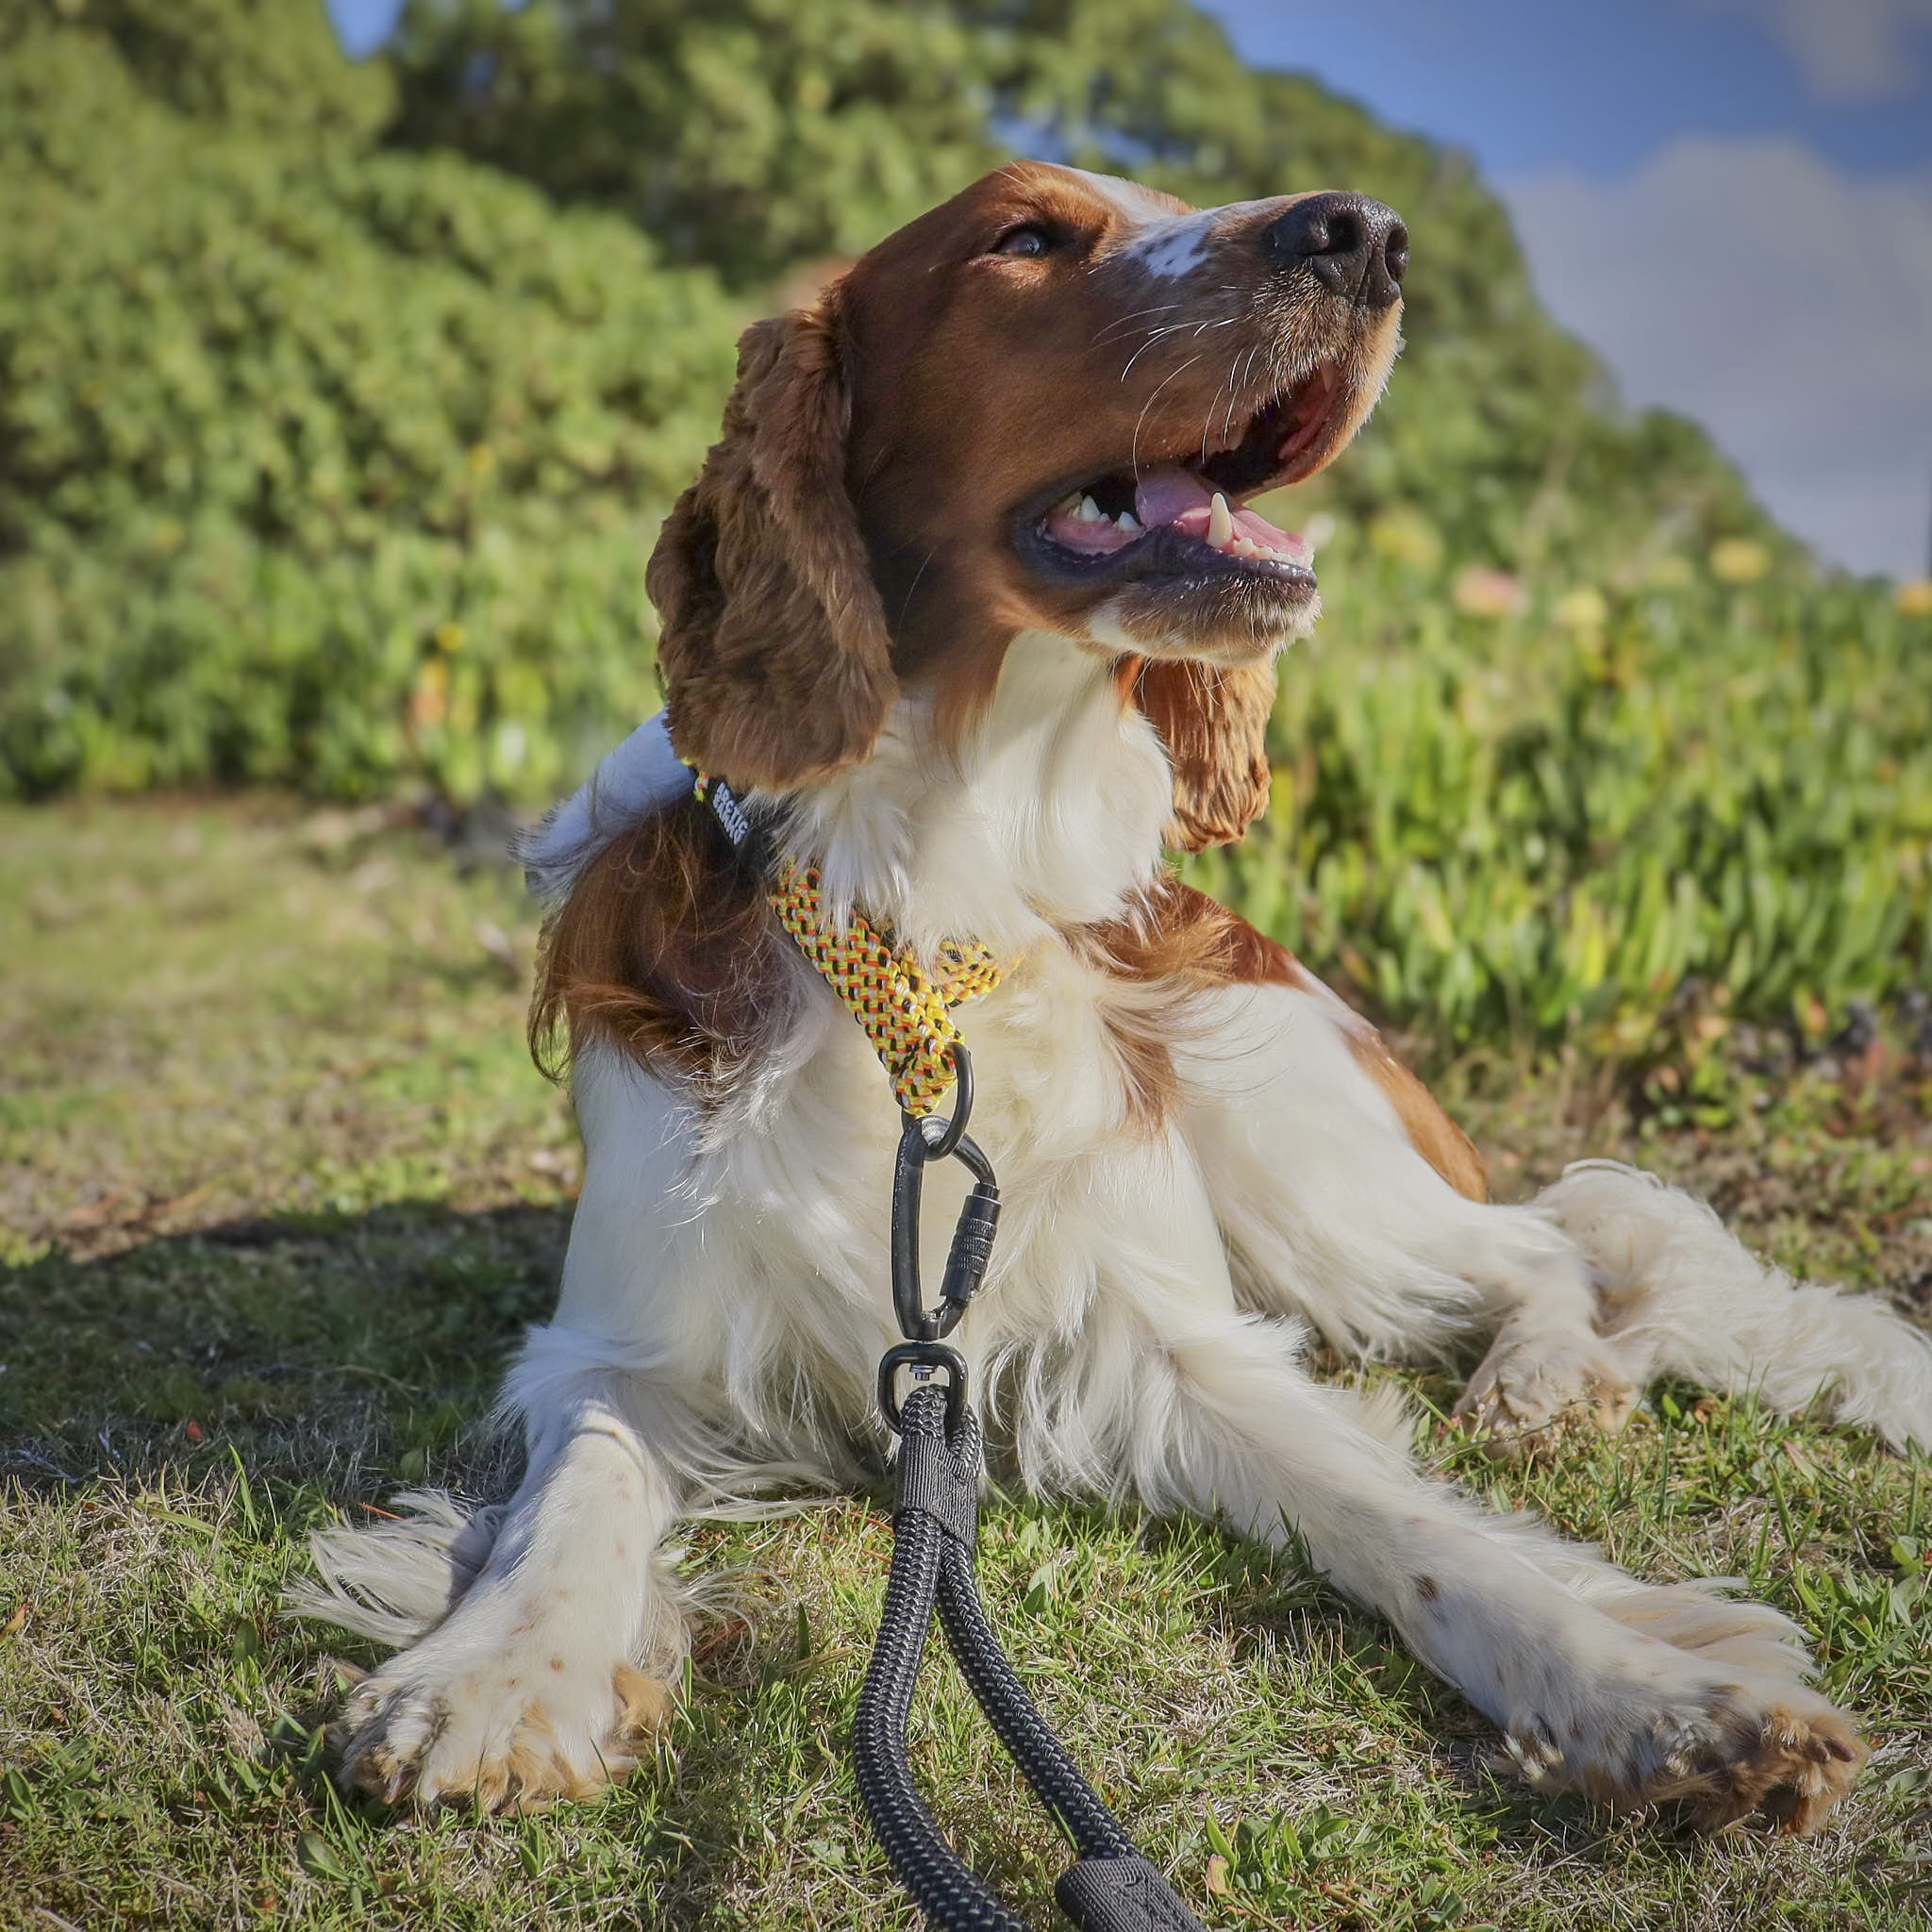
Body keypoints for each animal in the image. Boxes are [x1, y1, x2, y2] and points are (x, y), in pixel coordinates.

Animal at [290, 162, 1932, 1824]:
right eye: (1023, 238)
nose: (1367, 235)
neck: (927, 907)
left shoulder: (1175, 1338)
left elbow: (1422, 1535)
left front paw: (1654, 1698)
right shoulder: (622, 1337)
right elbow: (585, 1479)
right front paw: (497, 1674)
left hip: (1295, 1152)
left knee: (1553, 1243)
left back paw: (1544, 1379)